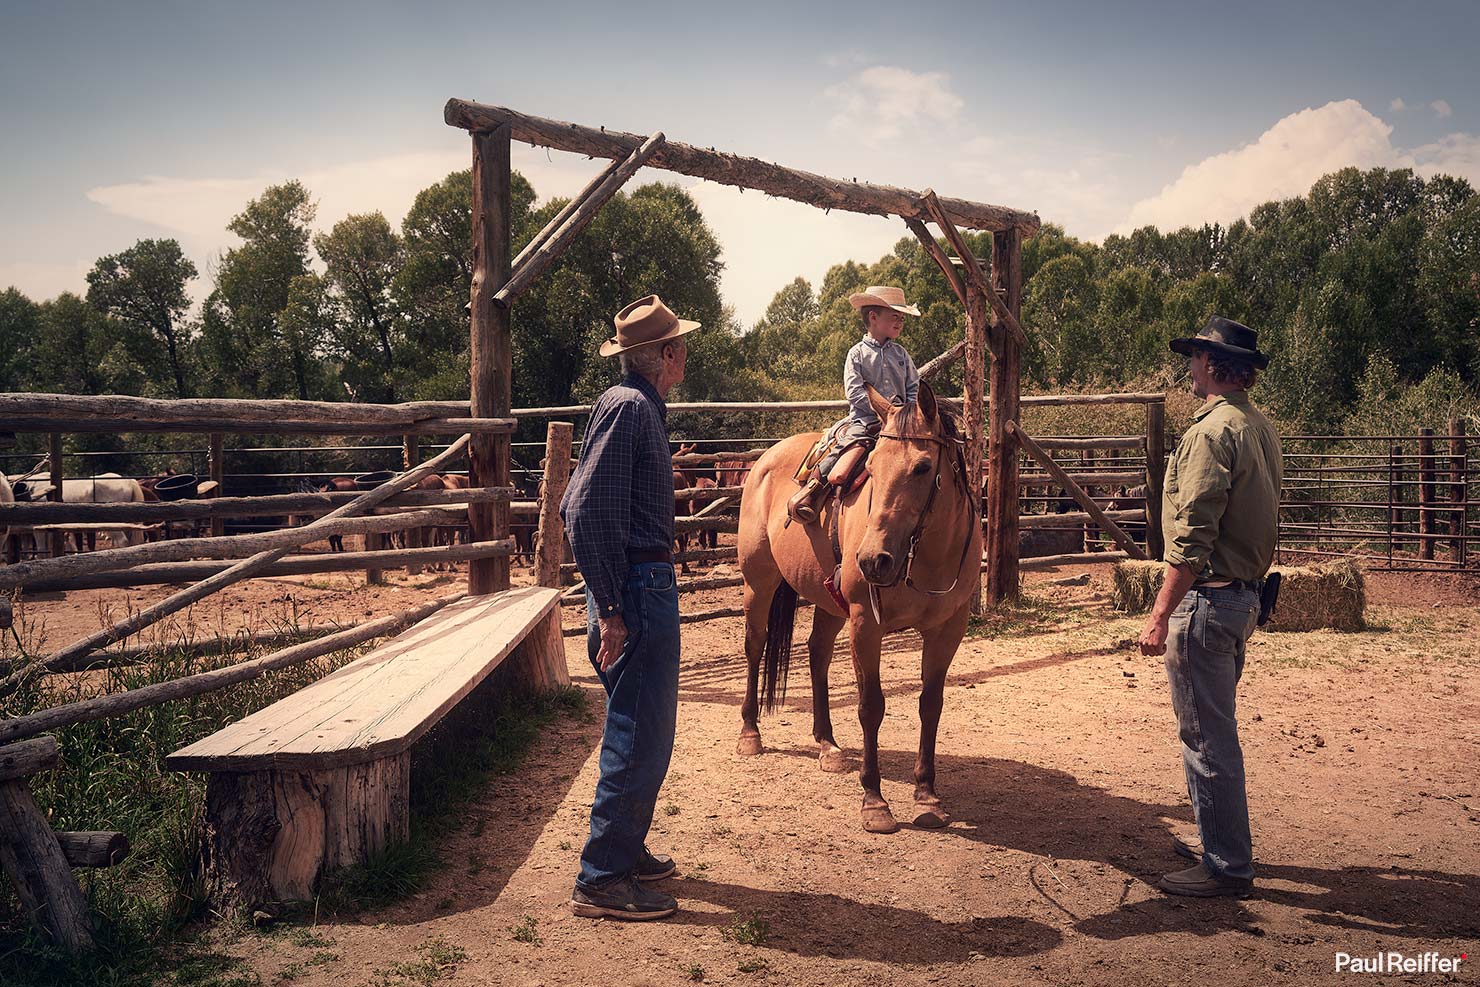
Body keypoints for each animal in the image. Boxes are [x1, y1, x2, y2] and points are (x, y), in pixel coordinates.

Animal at [731, 381, 982, 840]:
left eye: (923, 467)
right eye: (874, 467)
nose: (871, 561)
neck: (923, 555)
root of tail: (763, 461)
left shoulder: (948, 630)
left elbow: (930, 704)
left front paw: (927, 796)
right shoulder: (866, 625)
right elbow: (871, 706)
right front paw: (875, 803)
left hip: (829, 601)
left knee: (817, 654)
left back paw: (828, 745)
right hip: (758, 584)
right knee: (755, 647)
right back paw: (750, 733)